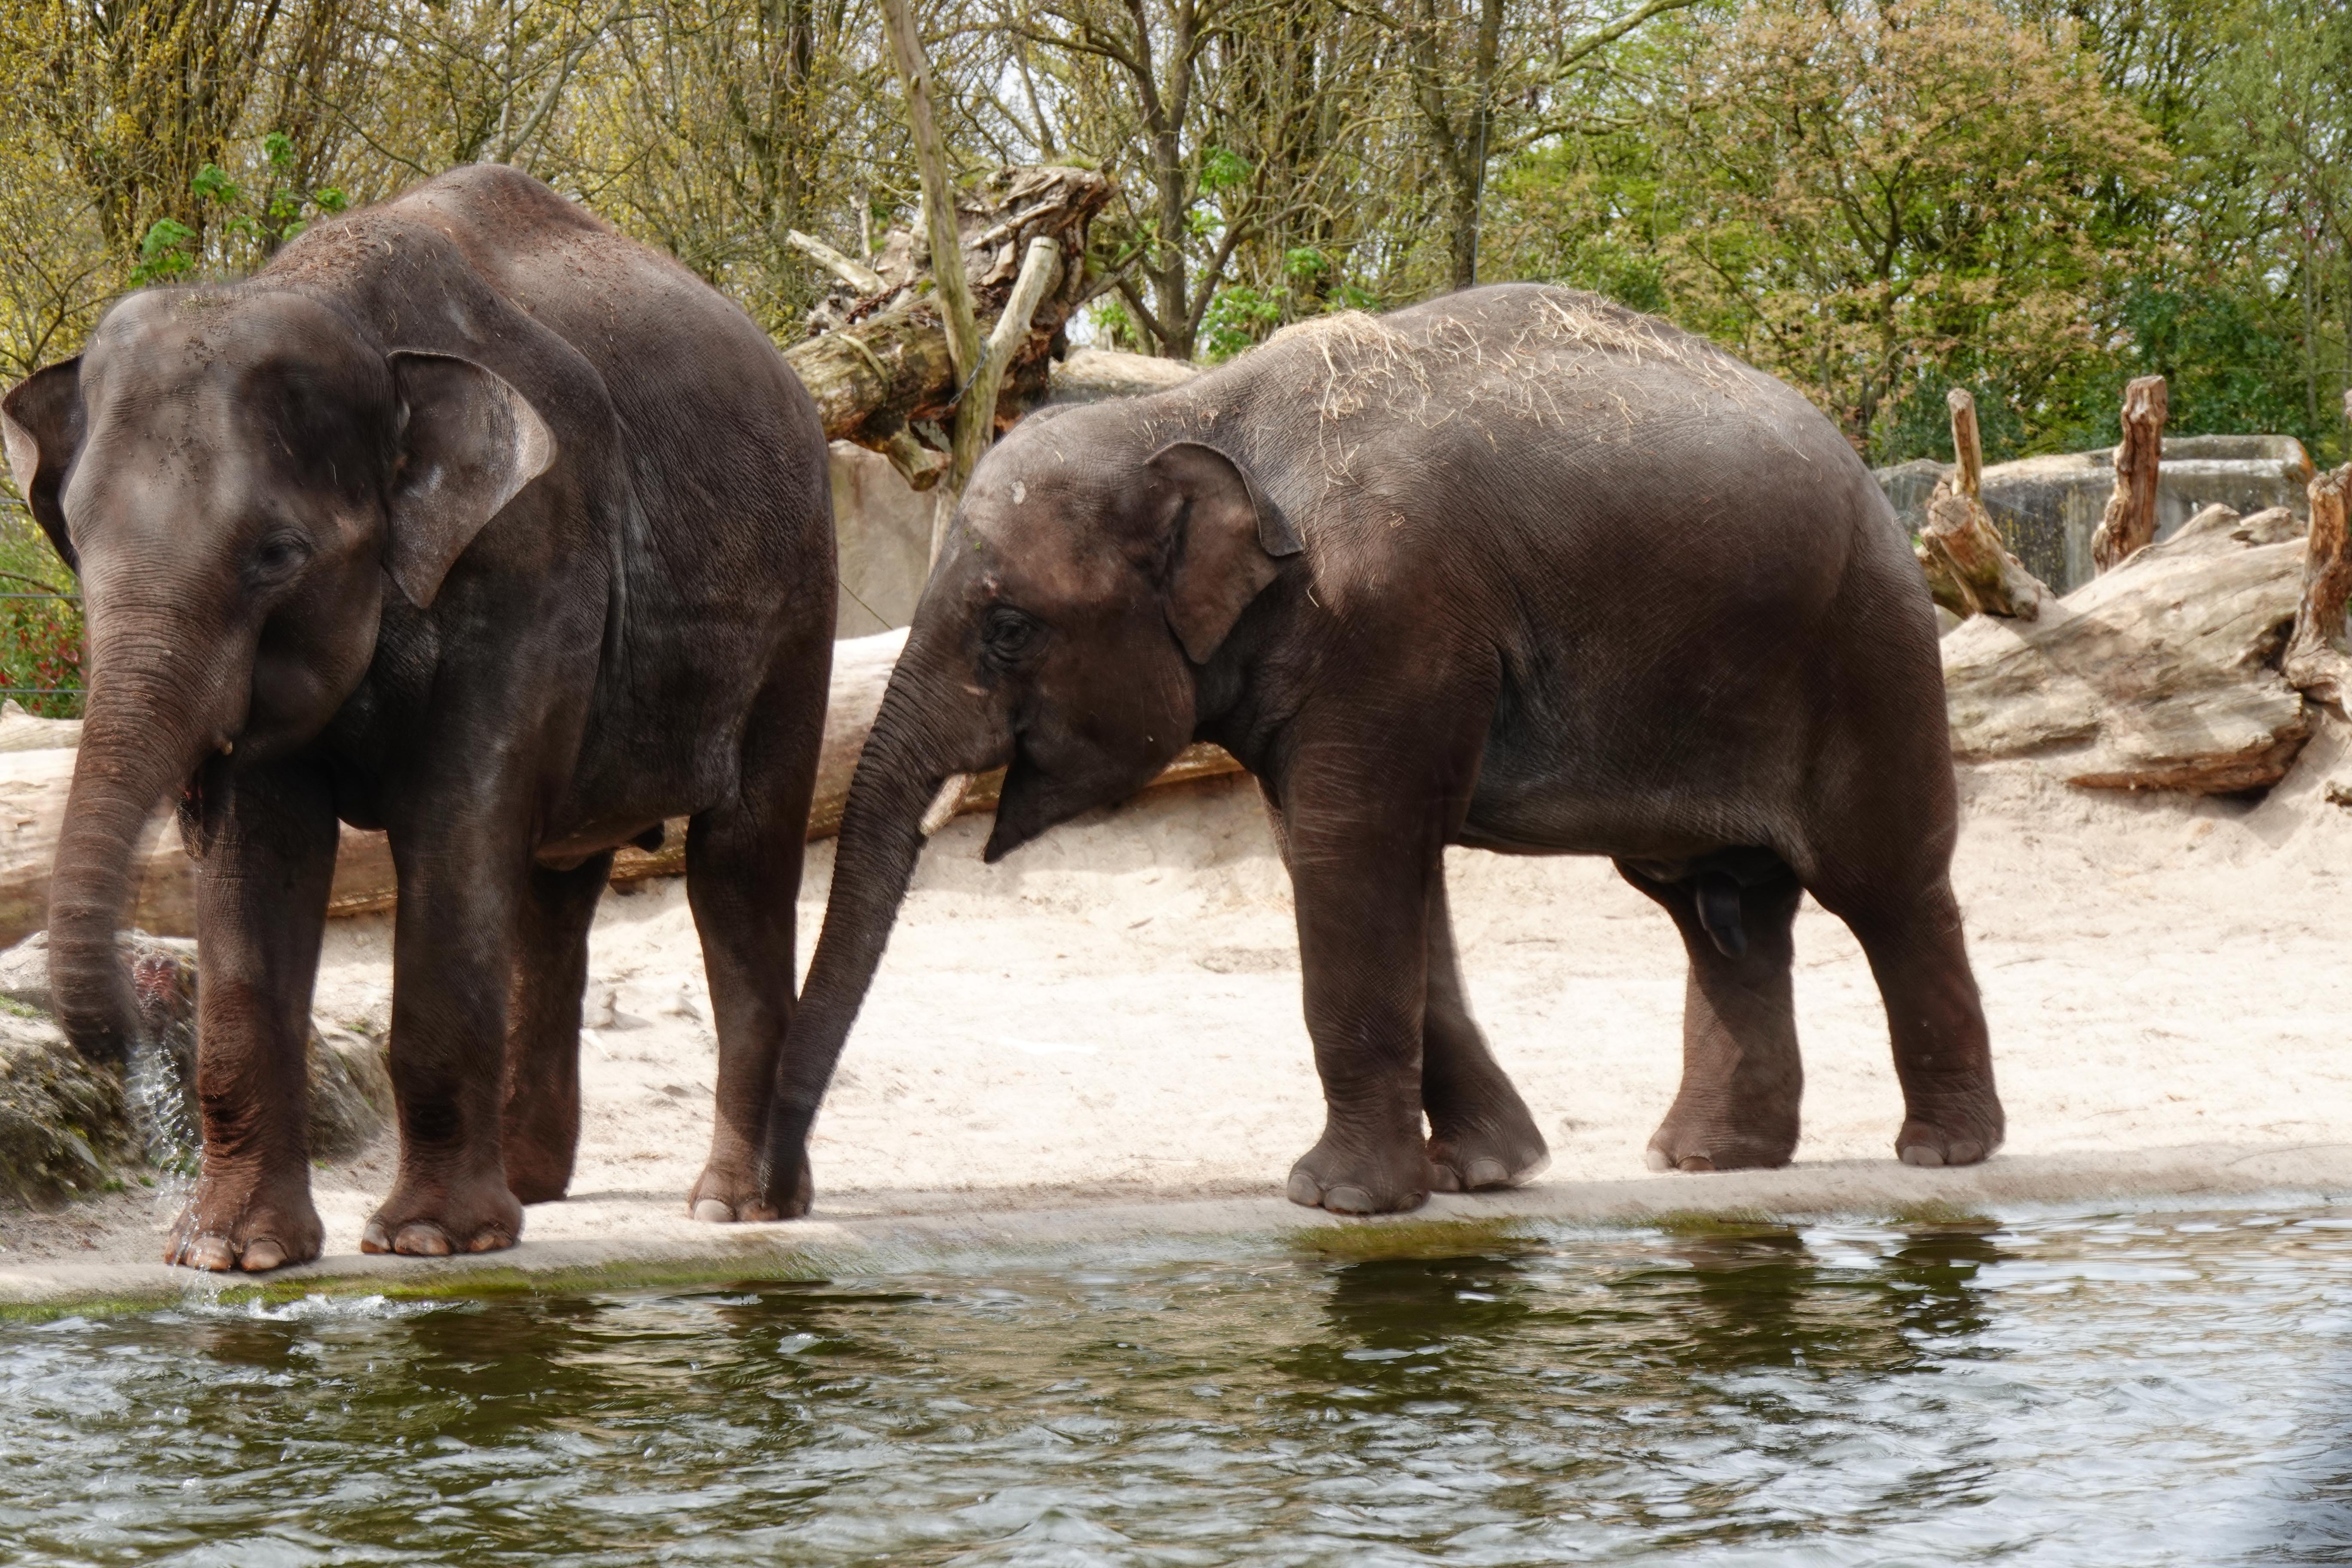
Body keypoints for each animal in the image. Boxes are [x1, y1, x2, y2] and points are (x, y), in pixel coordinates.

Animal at [0, 165, 834, 1269]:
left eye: (276, 555)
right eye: (77, 543)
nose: (121, 1033)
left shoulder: (532, 547)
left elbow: (453, 819)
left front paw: (427, 1241)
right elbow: (257, 848)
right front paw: (229, 1254)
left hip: (798, 608)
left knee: (736, 867)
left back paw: (734, 1208)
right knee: (551, 888)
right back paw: (535, 1188)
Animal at [731, 283, 2003, 1221]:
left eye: (1006, 629)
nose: (774, 1201)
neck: (1193, 413)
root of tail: (1872, 483)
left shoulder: (1390, 616)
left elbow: (1354, 854)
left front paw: (1337, 1202)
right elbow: (1352, 861)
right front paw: (1486, 1173)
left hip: (1867, 647)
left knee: (1884, 884)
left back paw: (1943, 1155)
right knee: (1716, 910)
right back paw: (1704, 1160)